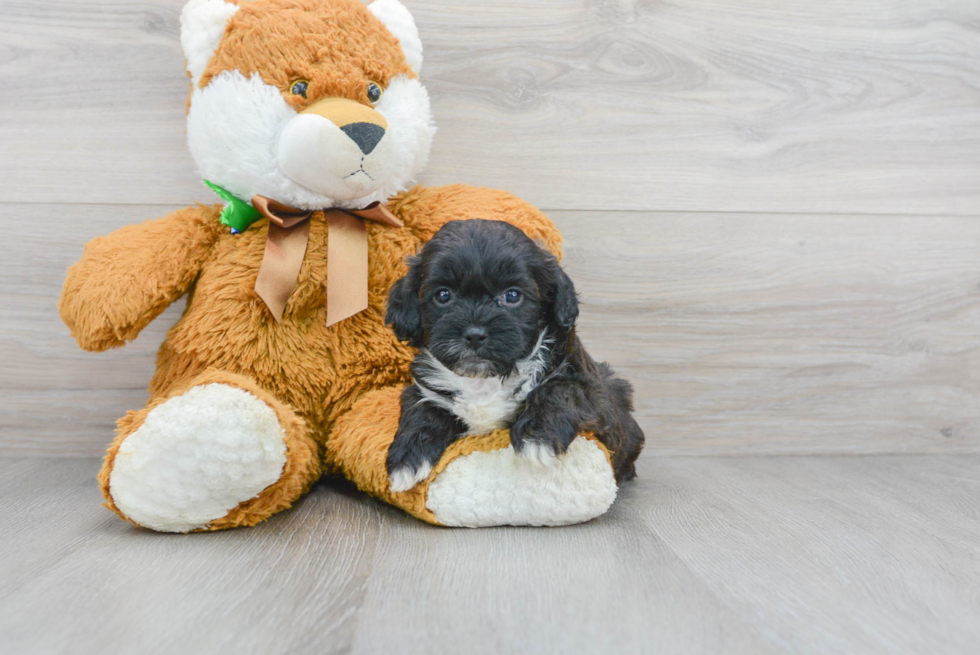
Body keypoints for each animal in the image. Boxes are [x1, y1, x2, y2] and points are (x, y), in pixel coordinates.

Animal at [382, 220, 644, 492]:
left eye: (512, 295)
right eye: (443, 295)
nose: (474, 334)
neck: (485, 380)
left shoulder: (599, 400)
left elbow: (562, 388)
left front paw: (537, 436)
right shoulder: (424, 389)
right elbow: (422, 409)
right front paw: (407, 458)